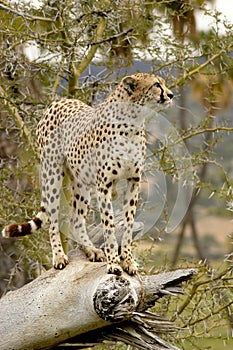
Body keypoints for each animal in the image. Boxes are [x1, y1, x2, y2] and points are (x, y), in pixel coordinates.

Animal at [1, 73, 173, 276]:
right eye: (156, 85)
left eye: (163, 83)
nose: (170, 95)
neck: (134, 122)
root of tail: (59, 101)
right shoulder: (104, 184)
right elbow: (108, 224)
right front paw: (114, 263)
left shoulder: (134, 180)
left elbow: (129, 222)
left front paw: (128, 260)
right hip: (52, 174)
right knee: (53, 219)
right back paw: (59, 256)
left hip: (81, 182)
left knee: (76, 220)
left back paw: (91, 250)